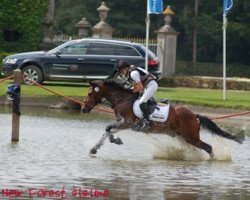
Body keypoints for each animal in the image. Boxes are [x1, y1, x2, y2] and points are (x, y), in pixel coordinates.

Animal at [81, 79, 245, 158]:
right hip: (182, 137)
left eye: (89, 94)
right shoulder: (122, 123)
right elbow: (108, 129)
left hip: (191, 136)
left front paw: (116, 140)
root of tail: (194, 115)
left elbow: (109, 129)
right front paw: (94, 148)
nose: (83, 109)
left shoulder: (128, 123)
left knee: (208, 147)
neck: (122, 99)